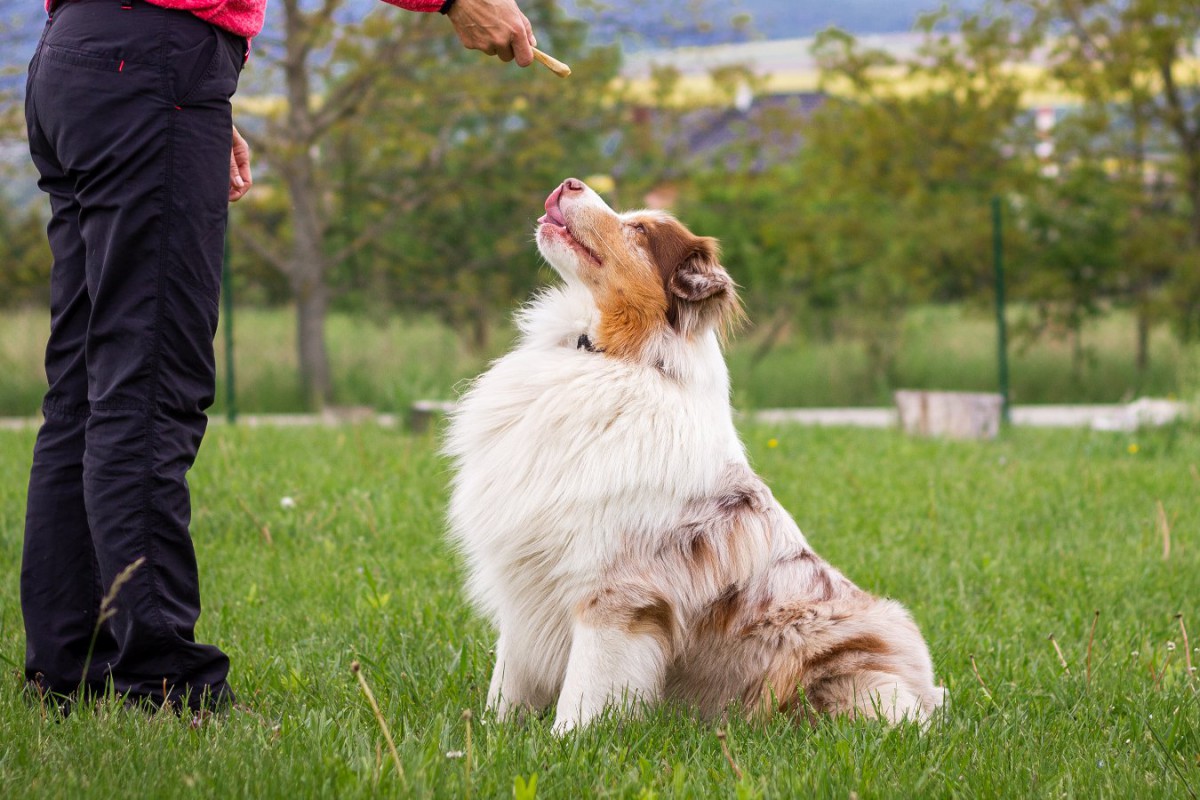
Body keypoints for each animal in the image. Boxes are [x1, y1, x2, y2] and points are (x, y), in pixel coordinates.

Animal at [444, 178, 945, 734]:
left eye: (640, 230)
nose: (570, 183)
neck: (614, 355)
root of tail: (927, 689)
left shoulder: (615, 592)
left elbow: (586, 689)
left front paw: (567, 740)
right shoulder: (525, 577)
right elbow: (508, 678)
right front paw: (489, 733)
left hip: (854, 671)